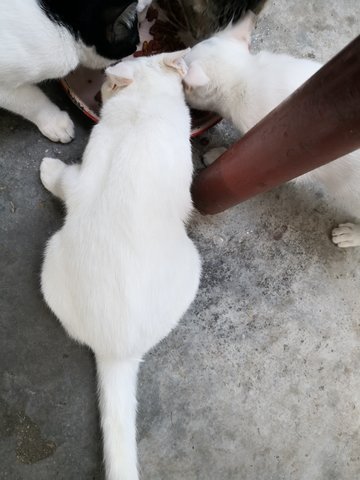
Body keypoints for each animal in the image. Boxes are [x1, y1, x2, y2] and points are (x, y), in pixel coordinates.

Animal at [40, 49, 202, 480]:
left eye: (109, 85)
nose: (100, 96)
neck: (144, 105)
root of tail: (117, 352)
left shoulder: (84, 174)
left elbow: (63, 180)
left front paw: (47, 170)